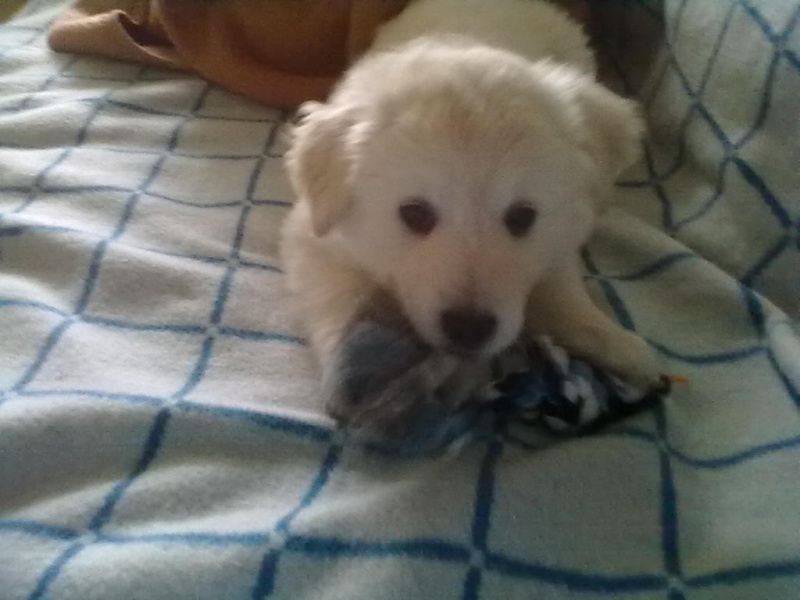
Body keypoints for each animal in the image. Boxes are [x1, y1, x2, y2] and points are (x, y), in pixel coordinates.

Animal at [280, 0, 660, 435]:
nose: (469, 329)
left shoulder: (562, 234)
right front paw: (354, 372)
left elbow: (562, 293)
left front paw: (618, 345)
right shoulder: (314, 237)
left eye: (522, 217)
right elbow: (338, 300)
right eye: (415, 214)